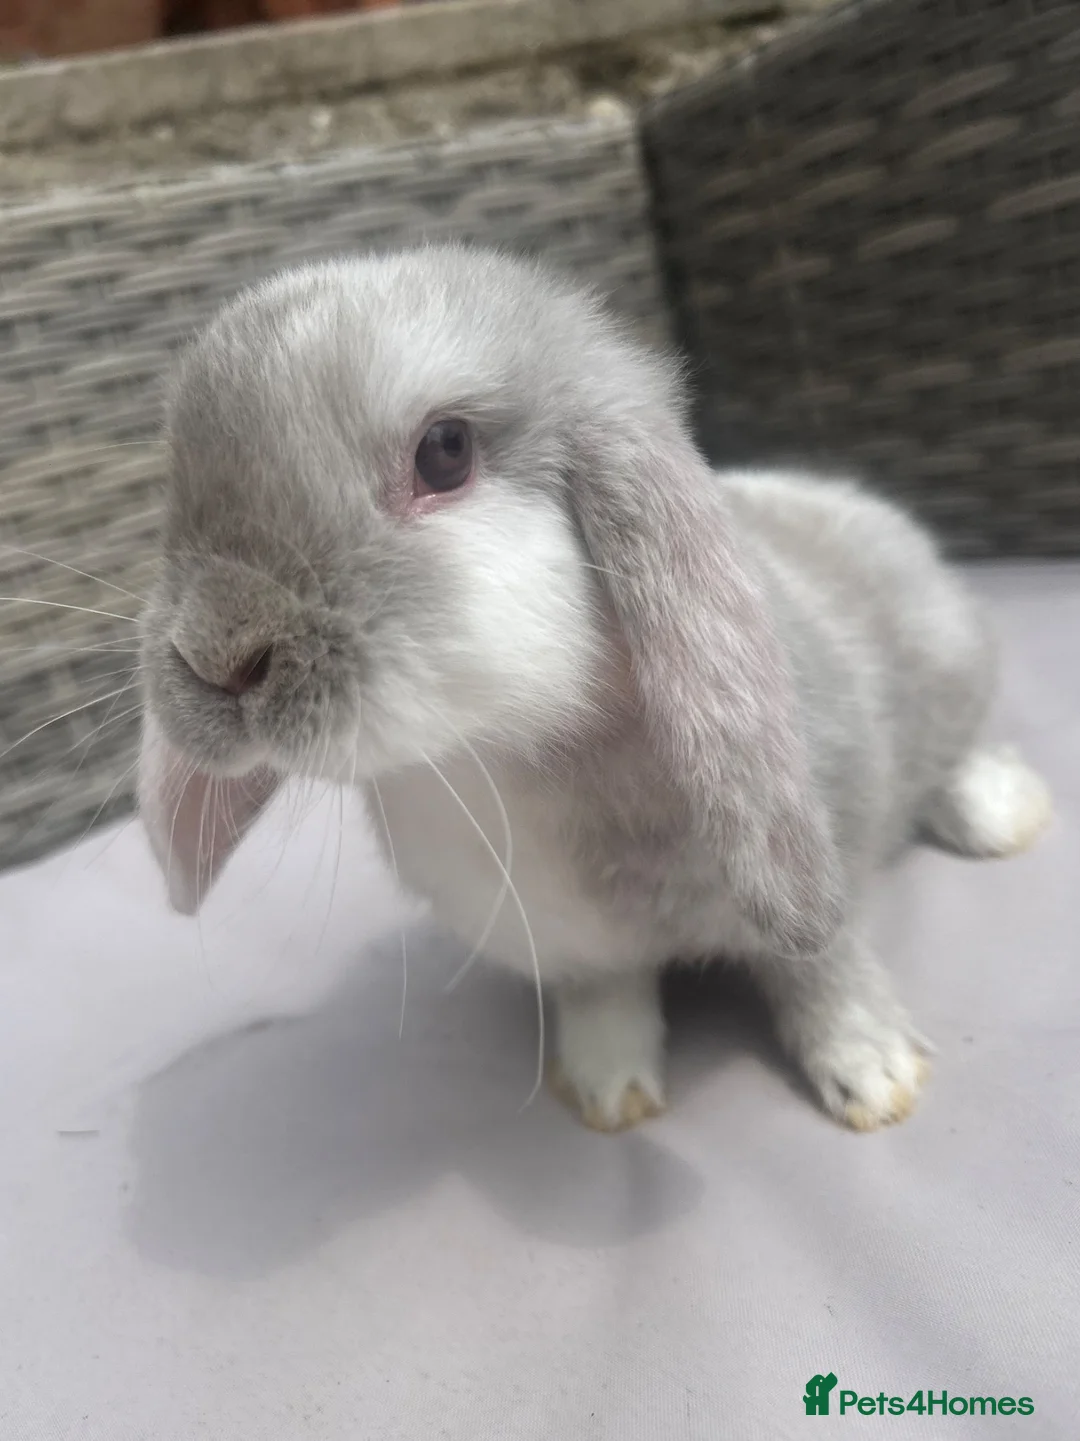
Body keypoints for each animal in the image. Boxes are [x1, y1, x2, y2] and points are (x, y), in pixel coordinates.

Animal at [137, 244, 1052, 1133]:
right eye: (176, 484)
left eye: (445, 451)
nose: (216, 654)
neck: (491, 755)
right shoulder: (571, 950)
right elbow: (608, 998)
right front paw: (608, 1093)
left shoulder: (827, 865)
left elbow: (825, 968)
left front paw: (876, 1077)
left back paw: (1004, 813)